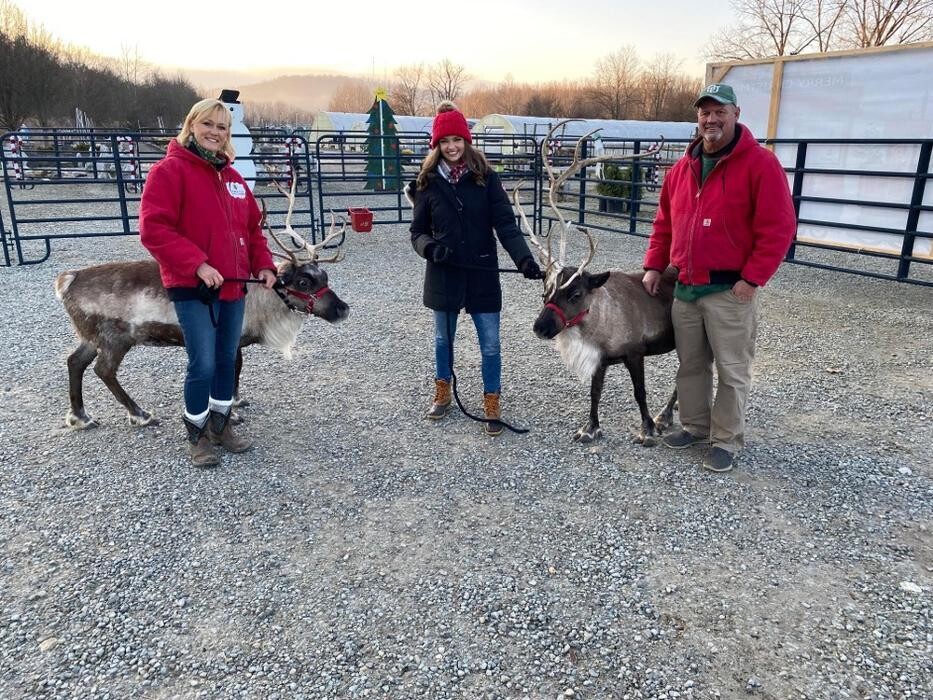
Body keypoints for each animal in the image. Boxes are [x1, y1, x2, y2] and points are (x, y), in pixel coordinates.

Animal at [56, 175, 349, 430]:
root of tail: (68, 280)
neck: (263, 301)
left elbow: (236, 372)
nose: (343, 308)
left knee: (74, 362)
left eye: (324, 276)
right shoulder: (228, 338)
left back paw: (80, 416)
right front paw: (230, 412)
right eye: (303, 282)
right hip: (114, 338)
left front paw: (237, 400)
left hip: (90, 336)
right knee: (103, 370)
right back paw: (139, 414)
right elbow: (231, 371)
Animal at [514, 121, 678, 445]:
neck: (598, 324)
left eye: (575, 293)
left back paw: (663, 417)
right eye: (544, 293)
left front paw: (646, 430)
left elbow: (640, 393)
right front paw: (590, 427)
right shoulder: (600, 359)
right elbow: (594, 392)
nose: (540, 328)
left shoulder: (635, 353)